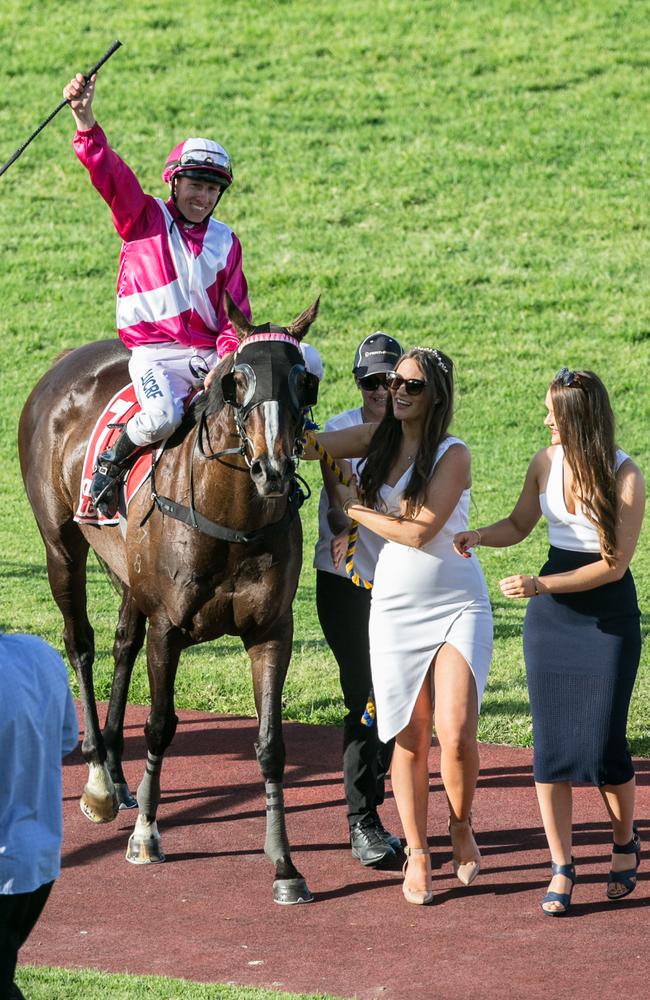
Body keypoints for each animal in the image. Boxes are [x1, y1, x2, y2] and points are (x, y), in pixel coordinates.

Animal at [20, 296, 322, 908]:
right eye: (236, 380)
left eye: (305, 381)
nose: (274, 469)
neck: (231, 522)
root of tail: (65, 362)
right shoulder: (168, 628)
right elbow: (160, 725)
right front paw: (145, 835)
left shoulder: (271, 631)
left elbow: (271, 744)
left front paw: (284, 864)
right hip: (61, 546)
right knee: (80, 643)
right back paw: (98, 778)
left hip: (128, 575)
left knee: (121, 644)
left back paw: (116, 773)